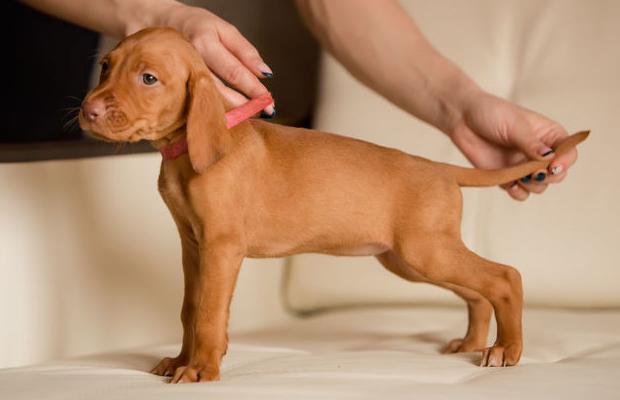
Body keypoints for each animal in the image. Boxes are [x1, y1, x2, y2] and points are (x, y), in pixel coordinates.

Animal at [80, 26, 588, 382]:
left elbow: (207, 312)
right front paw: (181, 360)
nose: (89, 110)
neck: (188, 151)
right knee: (478, 292)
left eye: (149, 78)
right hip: (411, 259)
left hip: (426, 251)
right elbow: (189, 309)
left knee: (504, 277)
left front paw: (203, 369)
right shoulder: (192, 247)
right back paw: (471, 342)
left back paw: (508, 350)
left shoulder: (221, 248)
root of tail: (442, 169)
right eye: (105, 67)